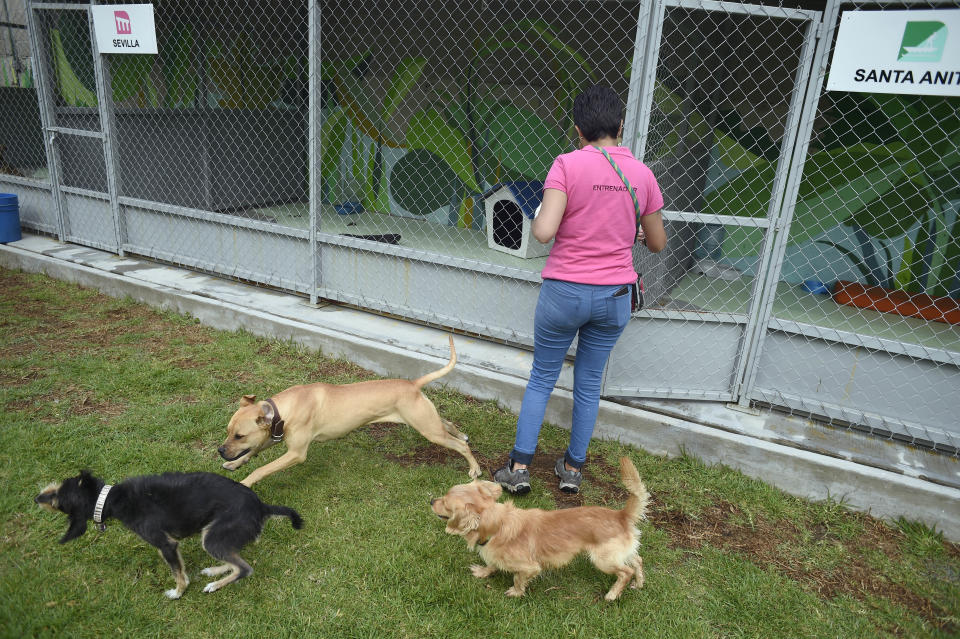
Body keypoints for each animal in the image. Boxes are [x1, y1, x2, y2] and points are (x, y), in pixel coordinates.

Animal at [34, 470, 304, 600]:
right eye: (59, 485)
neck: (112, 498)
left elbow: (178, 574)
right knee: (234, 560)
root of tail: (262, 506)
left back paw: (214, 585)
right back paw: (214, 571)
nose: (37, 497)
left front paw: (177, 593)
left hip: (212, 537)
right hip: (217, 536)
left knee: (244, 568)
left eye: (58, 500)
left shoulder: (166, 544)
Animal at [221, 336, 484, 484]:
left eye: (239, 435)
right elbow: (254, 451)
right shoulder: (271, 437)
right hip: (427, 420)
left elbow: (262, 469)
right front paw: (236, 463)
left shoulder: (296, 453)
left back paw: (475, 468)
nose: (220, 451)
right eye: (228, 431)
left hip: (428, 429)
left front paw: (245, 483)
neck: (283, 409)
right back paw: (462, 435)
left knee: (459, 446)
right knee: (448, 424)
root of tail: (413, 384)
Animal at [432, 456, 648, 600]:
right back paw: (639, 583)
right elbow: (492, 564)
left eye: (446, 505)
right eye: (444, 495)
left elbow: (518, 579)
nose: (431, 500)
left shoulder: (529, 567)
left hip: (603, 560)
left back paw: (613, 593)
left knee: (626, 572)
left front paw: (515, 592)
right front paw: (484, 572)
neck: (499, 525)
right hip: (619, 554)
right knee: (637, 560)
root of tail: (621, 515)